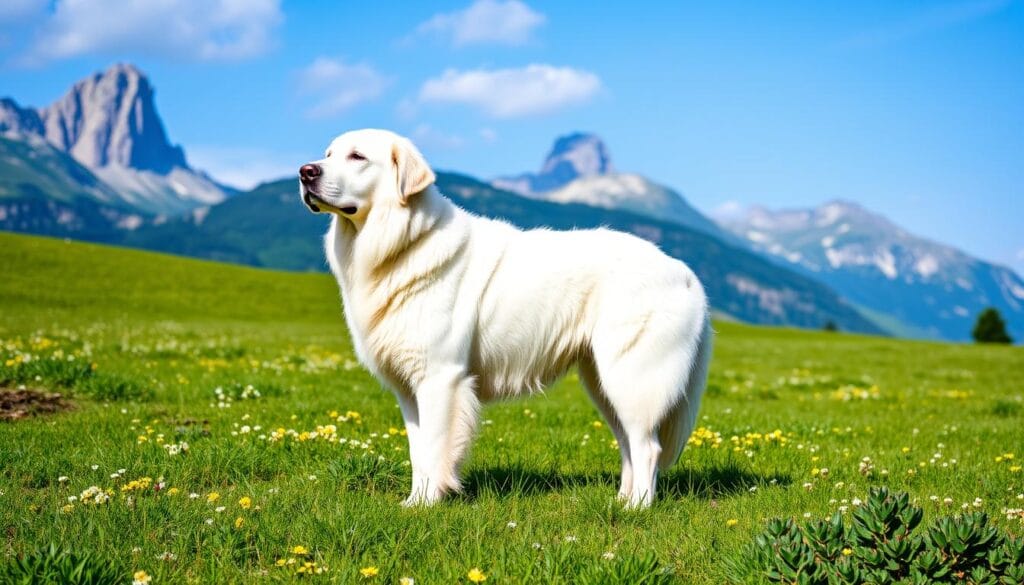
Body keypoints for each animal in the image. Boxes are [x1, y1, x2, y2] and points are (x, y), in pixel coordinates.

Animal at [299, 129, 708, 508]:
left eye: (357, 156)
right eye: (328, 154)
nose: (305, 172)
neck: (403, 243)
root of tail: (685, 273)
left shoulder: (441, 378)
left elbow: (434, 447)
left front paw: (428, 505)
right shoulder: (409, 389)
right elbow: (418, 451)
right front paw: (414, 503)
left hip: (631, 377)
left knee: (647, 446)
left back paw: (637, 508)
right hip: (602, 380)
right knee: (627, 443)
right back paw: (621, 500)